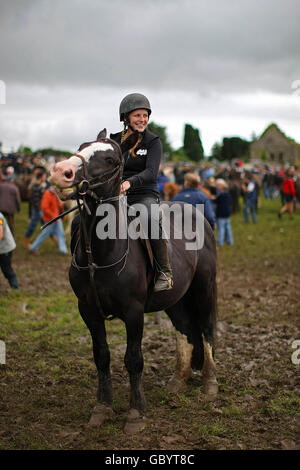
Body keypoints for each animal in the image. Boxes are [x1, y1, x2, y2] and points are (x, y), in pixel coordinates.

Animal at [49, 129, 218, 434]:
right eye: (81, 146)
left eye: (110, 159)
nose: (60, 172)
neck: (102, 252)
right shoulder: (88, 311)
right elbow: (101, 356)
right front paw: (102, 408)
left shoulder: (133, 311)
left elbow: (134, 359)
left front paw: (136, 413)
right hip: (174, 299)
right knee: (186, 328)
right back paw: (179, 379)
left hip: (205, 288)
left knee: (207, 328)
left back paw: (210, 384)